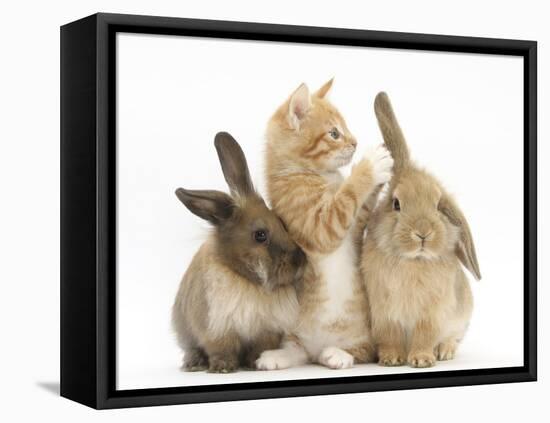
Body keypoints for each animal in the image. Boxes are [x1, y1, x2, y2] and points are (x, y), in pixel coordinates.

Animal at [172, 132, 306, 374]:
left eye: (282, 223)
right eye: (260, 235)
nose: (300, 260)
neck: (248, 281)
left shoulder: (266, 331)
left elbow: (259, 347)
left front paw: (254, 363)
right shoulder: (216, 328)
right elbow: (221, 349)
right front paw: (223, 368)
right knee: (191, 349)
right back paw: (194, 364)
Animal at [256, 80, 394, 372]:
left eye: (346, 128)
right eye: (334, 133)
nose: (355, 142)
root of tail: (317, 348)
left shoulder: (356, 225)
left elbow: (362, 205)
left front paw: (379, 171)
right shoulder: (319, 225)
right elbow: (347, 196)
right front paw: (371, 165)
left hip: (362, 332)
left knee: (361, 350)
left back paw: (335, 353)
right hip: (294, 330)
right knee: (300, 352)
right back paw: (280, 356)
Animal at [364, 93, 486, 368]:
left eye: (438, 205)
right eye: (396, 204)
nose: (423, 233)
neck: (412, 261)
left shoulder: (431, 314)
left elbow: (425, 336)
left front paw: (421, 360)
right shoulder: (384, 313)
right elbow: (390, 337)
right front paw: (391, 359)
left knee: (452, 338)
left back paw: (445, 352)